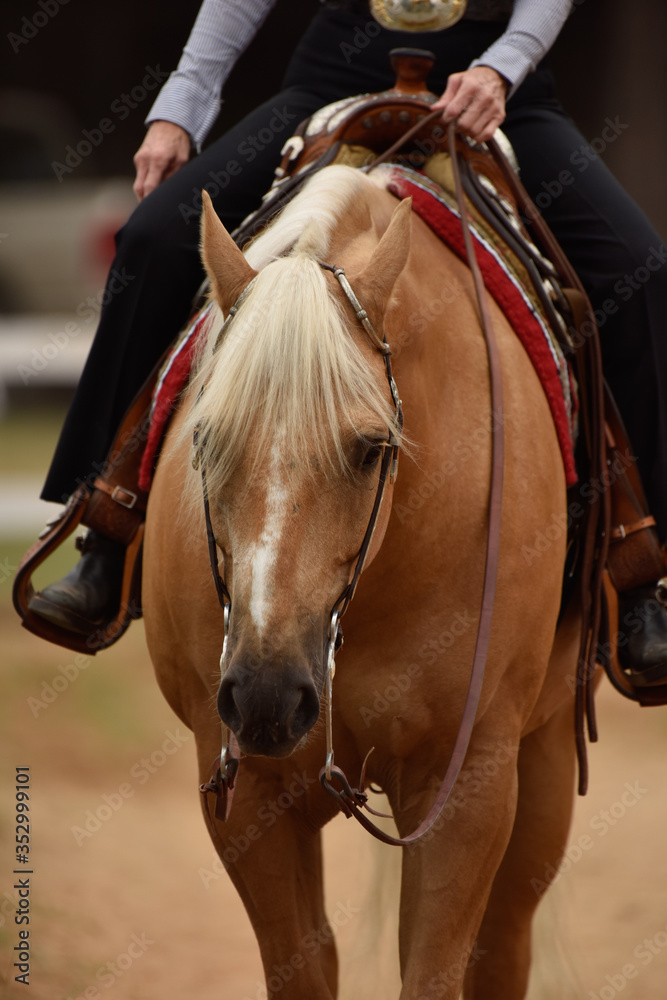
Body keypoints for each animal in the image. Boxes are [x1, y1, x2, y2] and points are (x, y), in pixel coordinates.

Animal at [142, 161, 582, 999]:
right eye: (205, 439)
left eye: (371, 448)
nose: (266, 692)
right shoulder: (247, 794)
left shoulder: (468, 781)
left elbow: (437, 971)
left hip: (542, 765)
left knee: (504, 944)